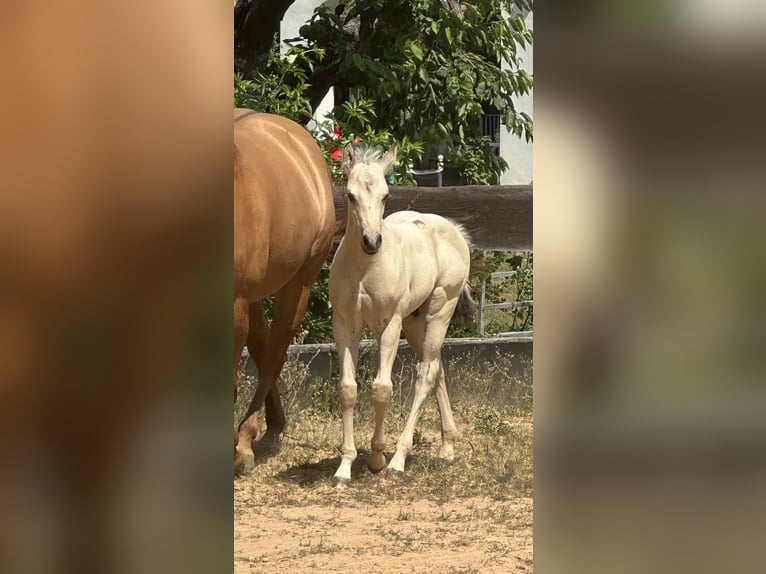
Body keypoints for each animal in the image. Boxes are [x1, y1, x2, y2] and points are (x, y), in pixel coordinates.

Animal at [329, 143, 475, 486]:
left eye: (386, 195)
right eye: (350, 195)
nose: (371, 241)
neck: (365, 268)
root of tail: (454, 230)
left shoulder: (389, 325)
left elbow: (382, 389)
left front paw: (378, 458)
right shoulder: (344, 324)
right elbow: (348, 389)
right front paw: (344, 467)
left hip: (438, 311)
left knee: (425, 375)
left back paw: (399, 459)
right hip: (414, 321)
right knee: (437, 368)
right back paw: (447, 446)